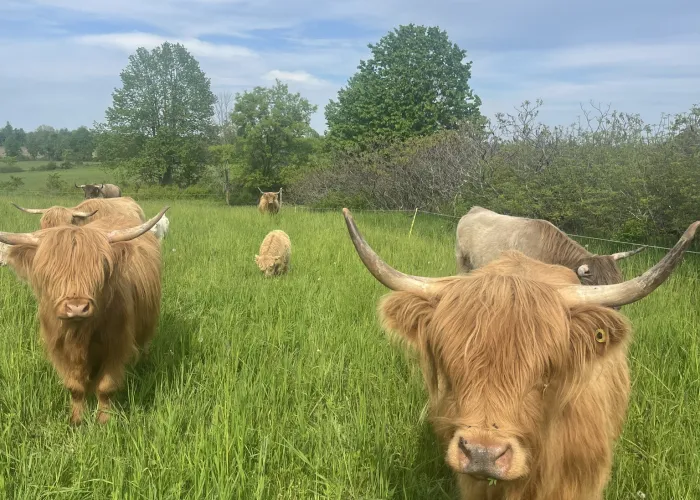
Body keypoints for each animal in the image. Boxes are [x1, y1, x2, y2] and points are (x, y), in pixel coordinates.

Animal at [0, 207, 169, 425]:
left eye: (102, 267)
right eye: (49, 272)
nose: (77, 307)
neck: (80, 333)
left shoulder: (116, 346)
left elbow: (105, 388)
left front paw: (104, 420)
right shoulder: (60, 349)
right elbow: (75, 388)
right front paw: (76, 420)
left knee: (145, 341)